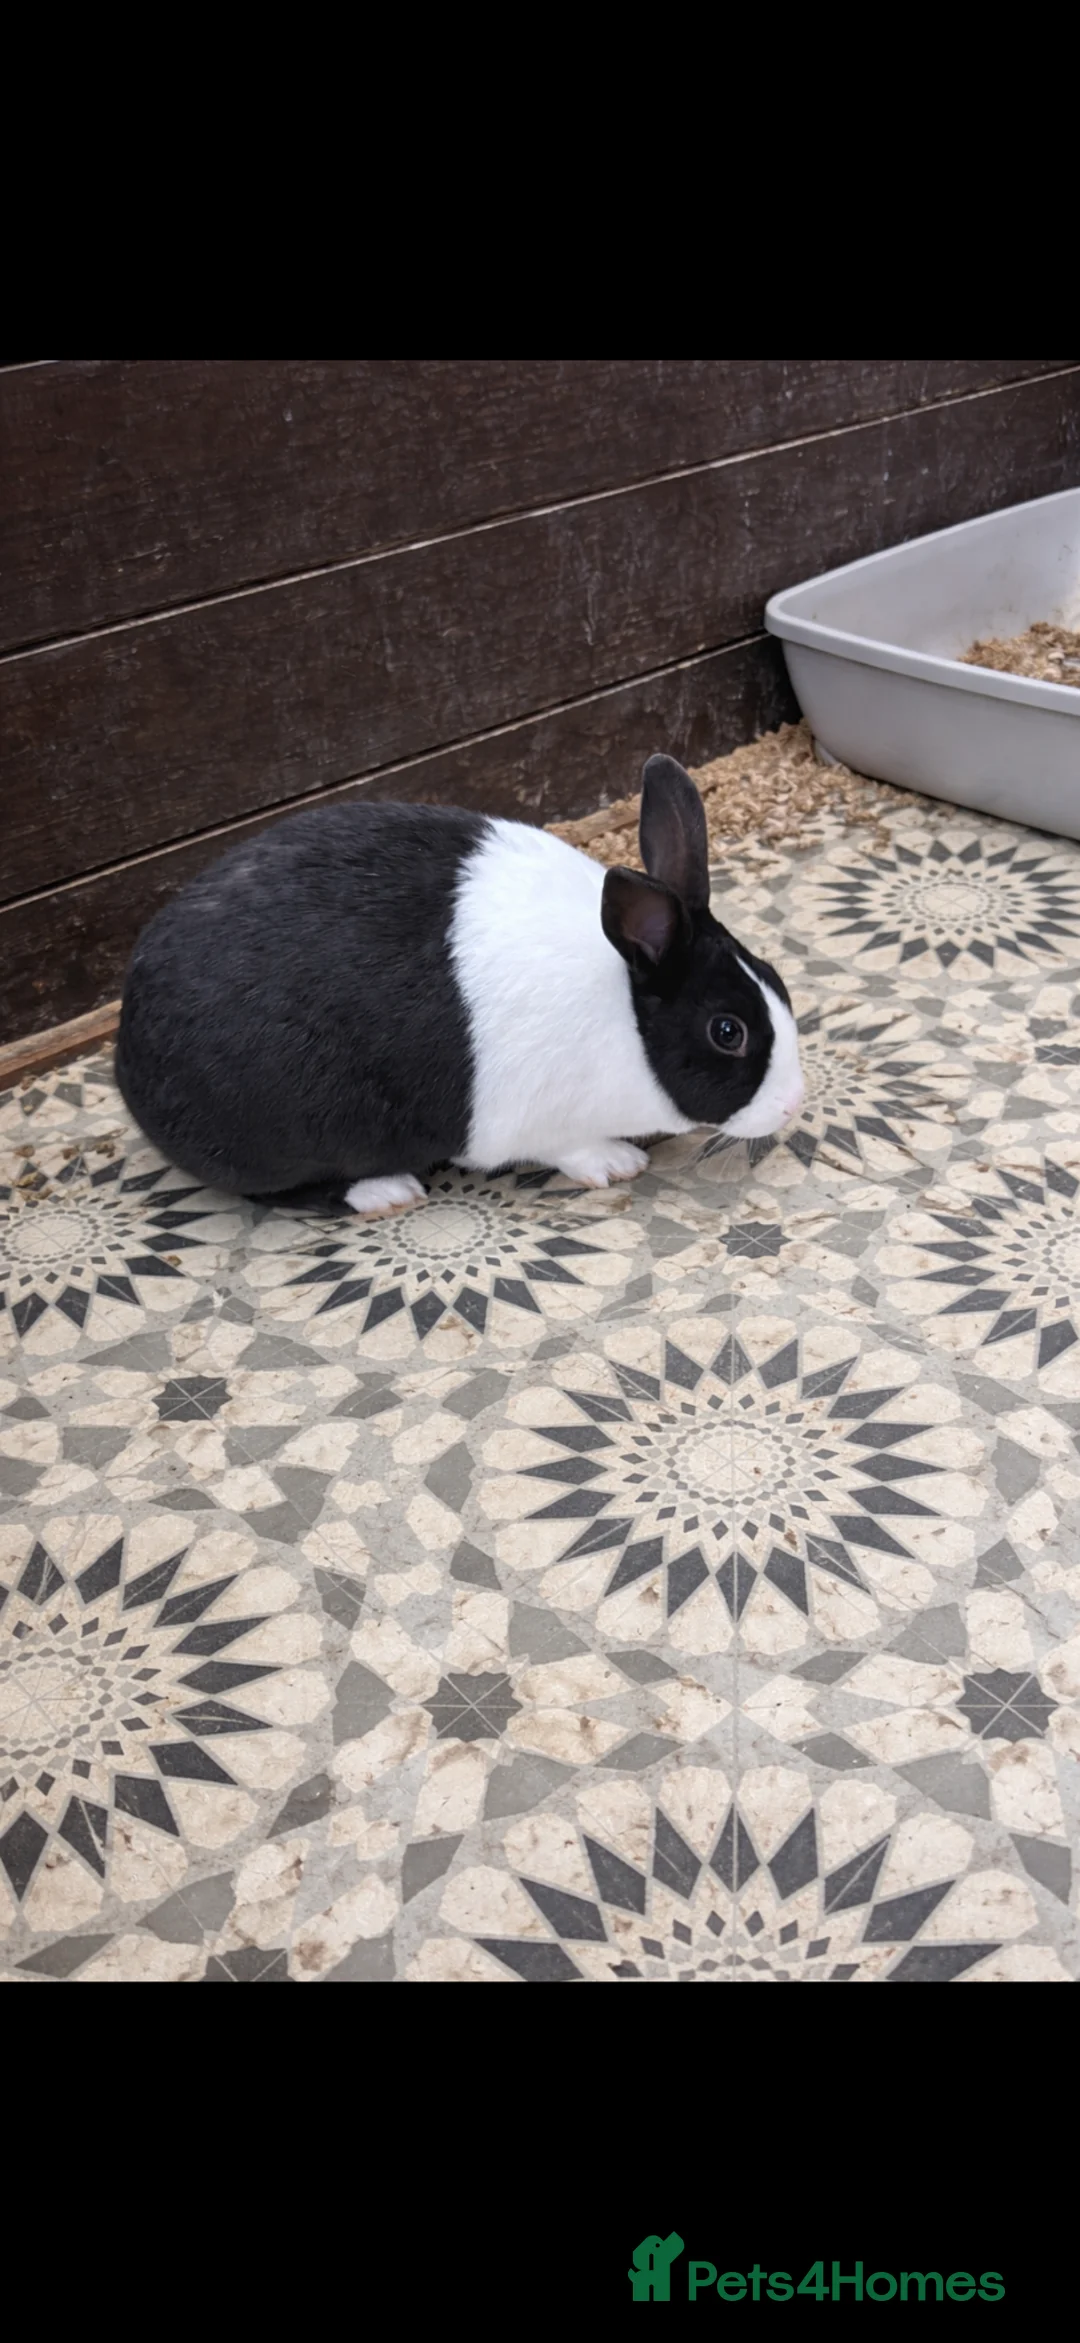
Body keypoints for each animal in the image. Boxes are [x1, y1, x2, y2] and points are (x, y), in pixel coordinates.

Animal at [114, 753, 804, 1217]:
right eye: (727, 1031)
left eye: (776, 979)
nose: (793, 1105)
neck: (624, 1010)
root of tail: (127, 1057)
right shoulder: (532, 1120)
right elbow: (568, 1147)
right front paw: (617, 1165)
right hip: (286, 1133)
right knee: (282, 1192)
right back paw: (388, 1191)